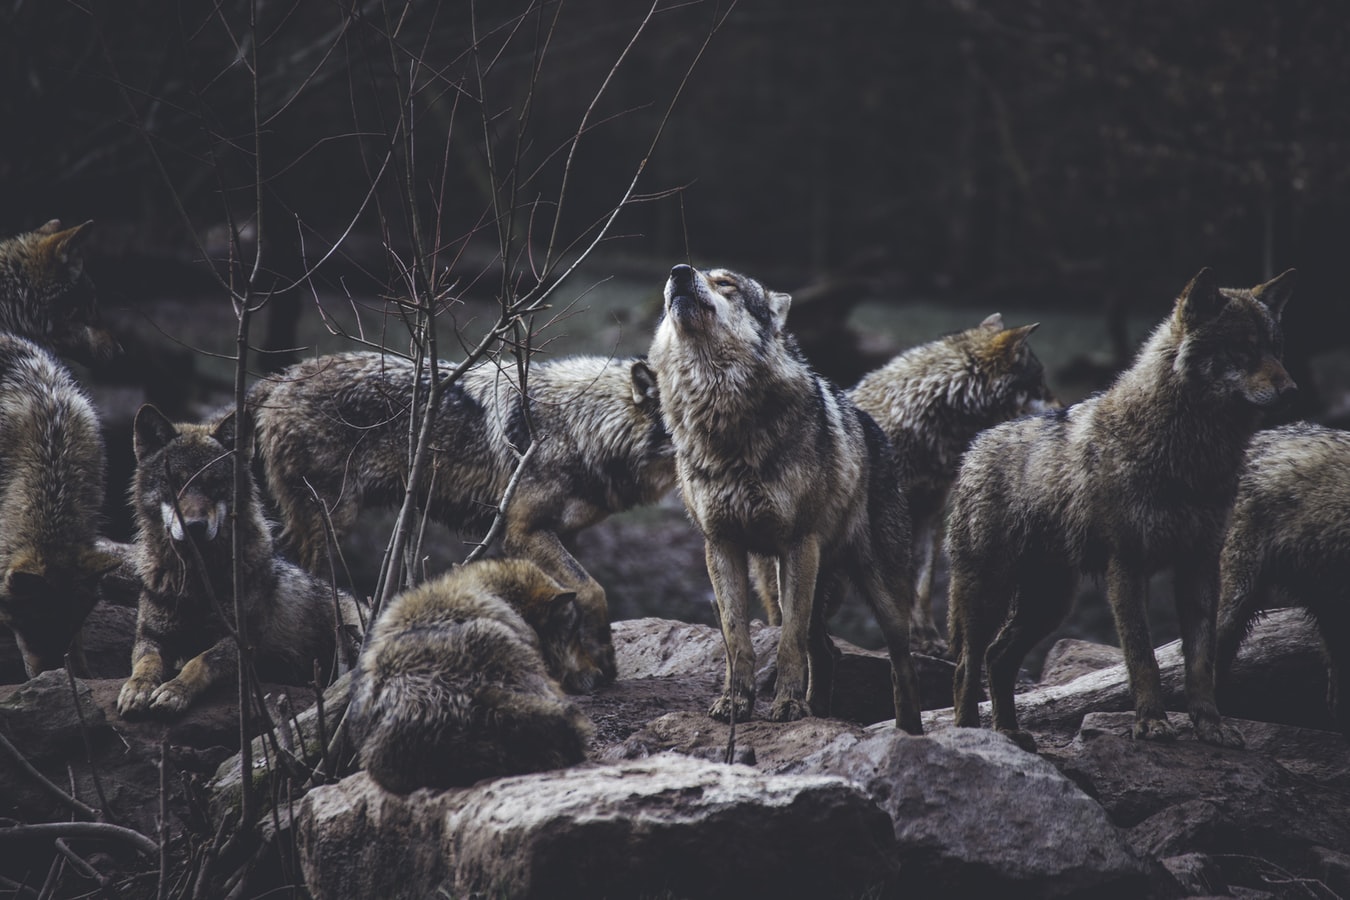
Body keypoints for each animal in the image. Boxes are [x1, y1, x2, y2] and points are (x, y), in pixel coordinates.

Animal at [117, 404, 366, 717]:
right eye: (174, 482)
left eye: (214, 483)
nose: (195, 526)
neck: (197, 582)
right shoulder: (150, 636)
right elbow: (146, 663)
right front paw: (136, 689)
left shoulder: (240, 642)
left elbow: (199, 661)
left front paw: (174, 691)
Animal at [248, 351, 675, 690]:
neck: (582, 426)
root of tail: (279, 377)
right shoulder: (523, 531)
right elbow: (593, 590)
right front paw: (603, 660)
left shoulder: (563, 534)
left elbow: (572, 599)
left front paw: (585, 666)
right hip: (331, 522)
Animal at [647, 263, 923, 732]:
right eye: (688, 274)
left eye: (726, 283)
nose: (679, 272)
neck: (722, 418)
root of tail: (874, 427)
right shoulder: (721, 545)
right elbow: (736, 638)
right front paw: (735, 703)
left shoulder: (798, 543)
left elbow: (788, 643)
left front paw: (789, 707)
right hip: (780, 581)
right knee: (827, 651)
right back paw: (821, 712)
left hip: (877, 591)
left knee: (900, 665)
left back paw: (909, 732)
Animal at [947, 268, 1296, 751]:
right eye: (1242, 349)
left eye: (1276, 349)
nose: (1292, 390)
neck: (1189, 453)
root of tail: (976, 444)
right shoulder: (1126, 565)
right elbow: (1142, 656)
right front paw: (1151, 723)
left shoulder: (1200, 565)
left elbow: (1201, 662)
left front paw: (1211, 726)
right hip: (990, 593)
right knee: (968, 662)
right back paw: (971, 734)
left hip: (1050, 603)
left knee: (998, 657)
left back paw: (1010, 733)